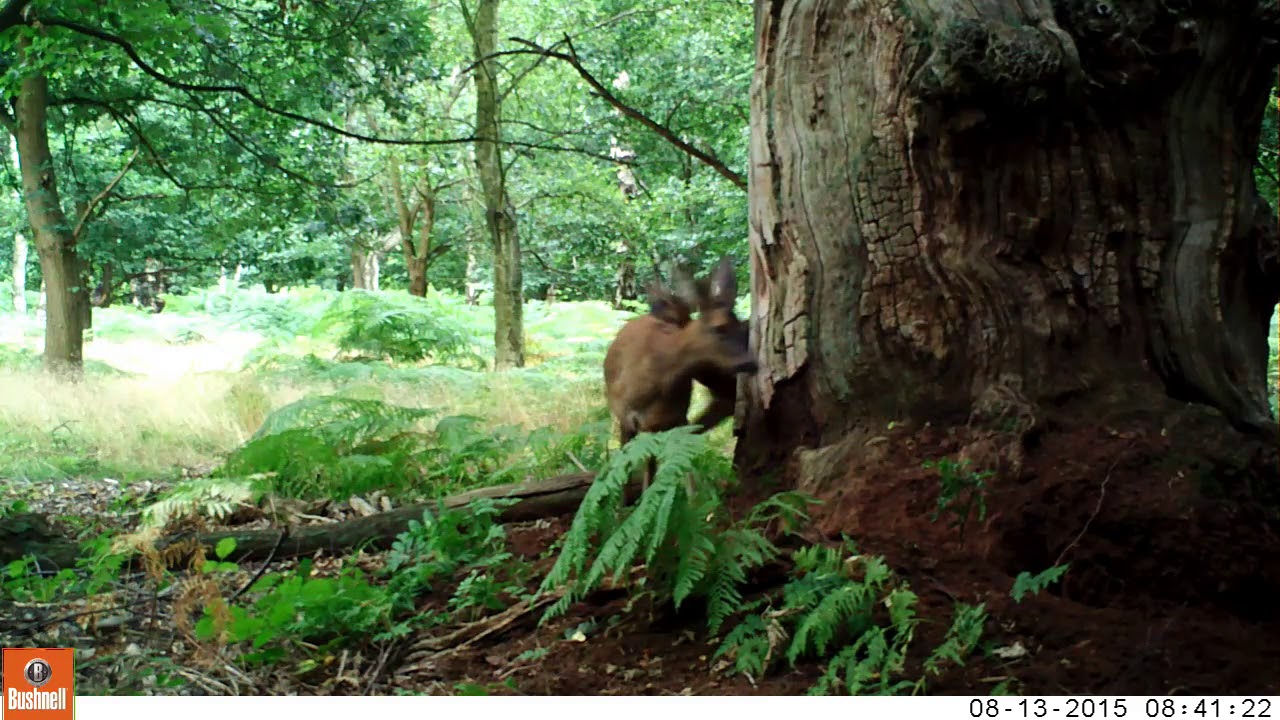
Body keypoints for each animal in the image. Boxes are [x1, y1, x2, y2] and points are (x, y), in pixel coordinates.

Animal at [603, 257, 758, 494]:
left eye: (742, 328)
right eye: (718, 328)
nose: (751, 362)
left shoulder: (677, 418)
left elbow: (685, 472)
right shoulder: (632, 419)